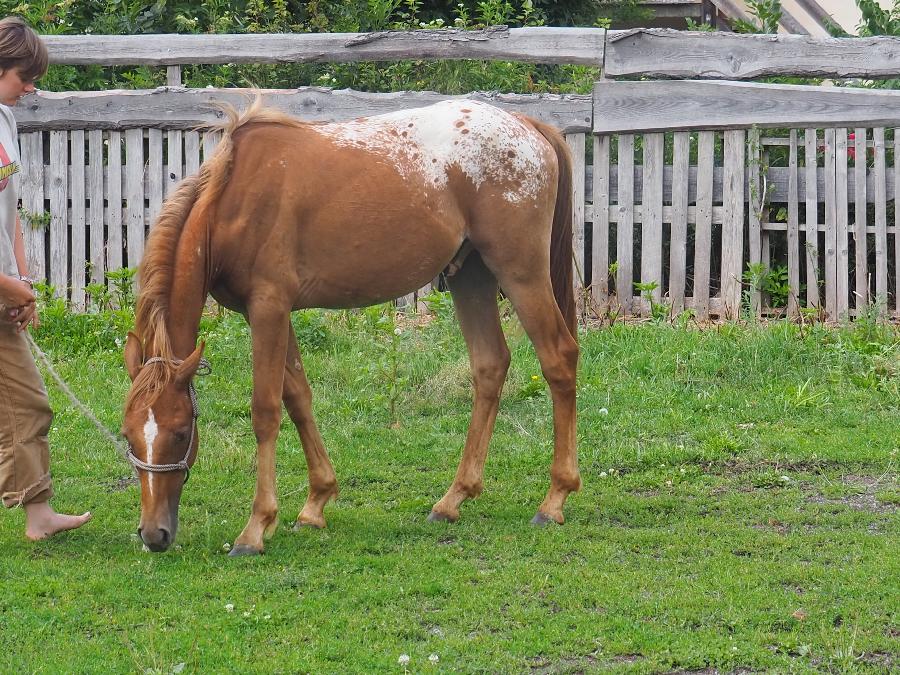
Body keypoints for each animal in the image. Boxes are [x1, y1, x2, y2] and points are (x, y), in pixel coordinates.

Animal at [121, 98, 581, 555]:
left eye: (181, 433)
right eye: (128, 436)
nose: (153, 534)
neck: (234, 200)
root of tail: (526, 123)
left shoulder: (268, 308)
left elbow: (266, 411)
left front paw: (255, 528)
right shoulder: (270, 313)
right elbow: (298, 398)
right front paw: (315, 504)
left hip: (519, 272)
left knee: (559, 359)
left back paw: (555, 499)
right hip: (471, 276)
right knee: (490, 366)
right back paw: (453, 498)